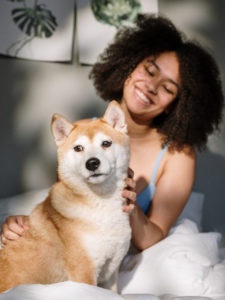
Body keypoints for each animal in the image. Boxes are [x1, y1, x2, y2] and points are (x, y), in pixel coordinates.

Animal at [0, 101, 130, 292]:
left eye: (106, 143)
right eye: (78, 148)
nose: (92, 163)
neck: (101, 204)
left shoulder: (111, 271)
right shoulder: (84, 273)